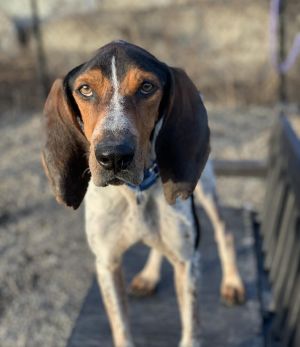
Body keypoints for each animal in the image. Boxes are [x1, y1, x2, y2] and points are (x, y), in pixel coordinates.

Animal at [41, 40, 244, 347]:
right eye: (85, 89)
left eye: (147, 87)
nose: (113, 156)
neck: (134, 192)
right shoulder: (107, 263)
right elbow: (121, 328)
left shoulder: (187, 262)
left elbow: (191, 331)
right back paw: (149, 276)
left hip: (206, 189)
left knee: (225, 230)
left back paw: (232, 282)